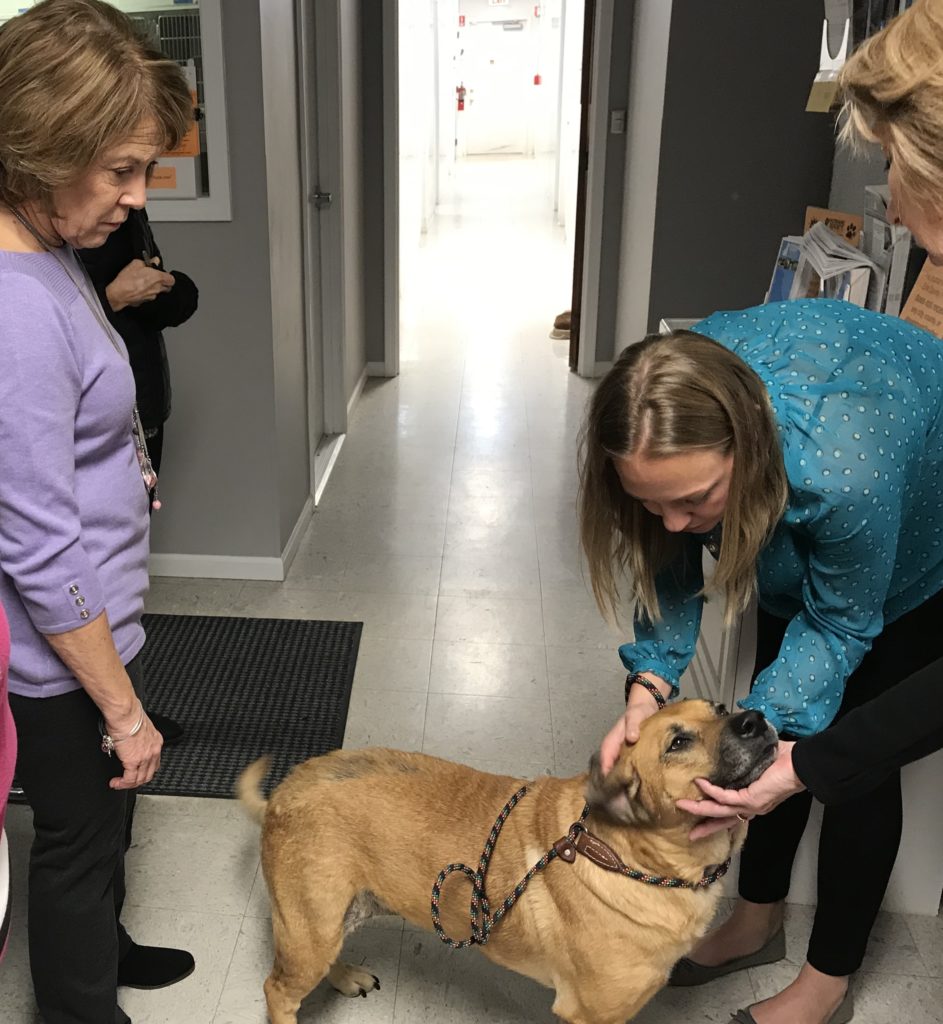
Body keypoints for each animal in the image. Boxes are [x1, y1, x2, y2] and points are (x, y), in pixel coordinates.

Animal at [239, 700, 778, 1019]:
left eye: (719, 708)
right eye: (678, 742)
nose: (754, 718)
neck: (628, 857)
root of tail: (284, 790)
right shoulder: (590, 1015)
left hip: (332, 919)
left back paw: (346, 976)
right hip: (309, 926)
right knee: (276, 989)